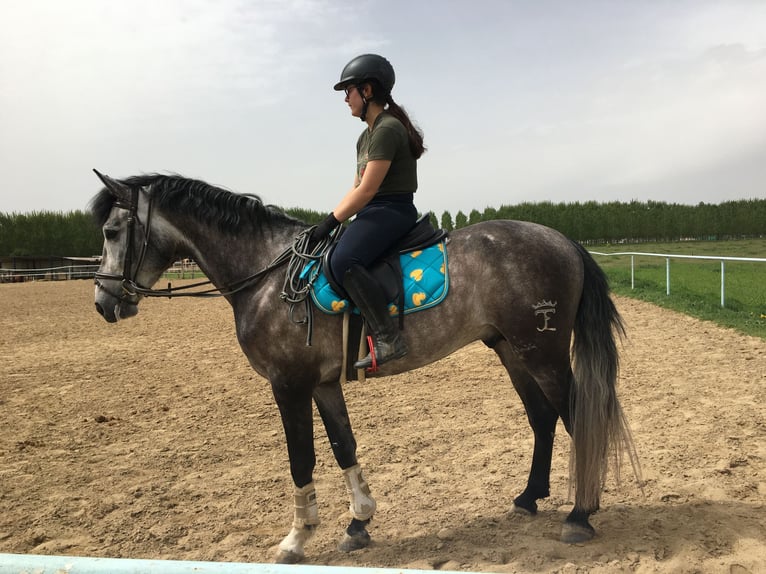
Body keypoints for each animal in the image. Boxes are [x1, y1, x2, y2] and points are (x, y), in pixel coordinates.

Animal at [90, 171, 640, 564]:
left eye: (113, 231)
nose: (103, 302)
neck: (267, 277)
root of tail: (563, 241)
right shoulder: (322, 384)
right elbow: (343, 445)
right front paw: (358, 523)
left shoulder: (288, 385)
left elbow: (301, 458)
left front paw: (296, 540)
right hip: (511, 349)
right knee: (543, 419)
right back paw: (529, 498)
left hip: (542, 351)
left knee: (577, 418)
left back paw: (580, 514)